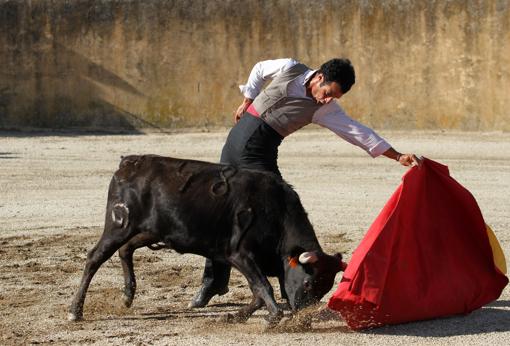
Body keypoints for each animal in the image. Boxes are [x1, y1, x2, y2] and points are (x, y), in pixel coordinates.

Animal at [68, 156, 346, 324]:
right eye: (308, 283)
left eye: (325, 288)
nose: (303, 315)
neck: (276, 212)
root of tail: (128, 164)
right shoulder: (240, 254)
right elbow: (263, 286)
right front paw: (275, 317)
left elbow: (257, 291)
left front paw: (236, 316)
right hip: (119, 225)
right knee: (95, 258)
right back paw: (75, 311)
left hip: (150, 230)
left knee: (126, 250)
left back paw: (127, 295)